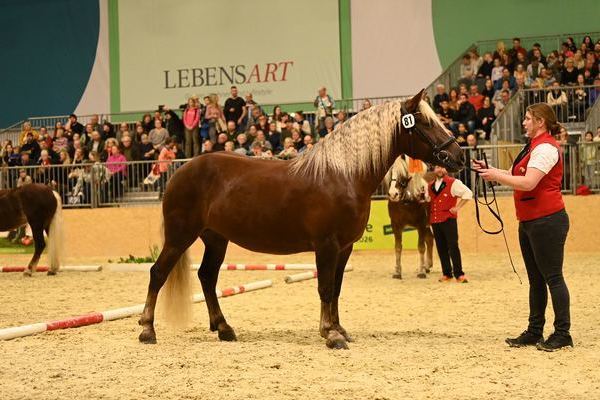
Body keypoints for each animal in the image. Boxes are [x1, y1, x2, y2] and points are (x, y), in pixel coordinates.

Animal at [138, 89, 466, 348]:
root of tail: (181, 170)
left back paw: (224, 328)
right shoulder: (327, 245)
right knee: (158, 273)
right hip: (181, 236)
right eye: (424, 122)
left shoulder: (344, 248)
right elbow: (325, 288)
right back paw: (147, 330)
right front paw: (330, 335)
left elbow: (336, 288)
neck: (344, 175)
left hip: (216, 238)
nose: (459, 156)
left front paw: (339, 329)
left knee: (207, 277)